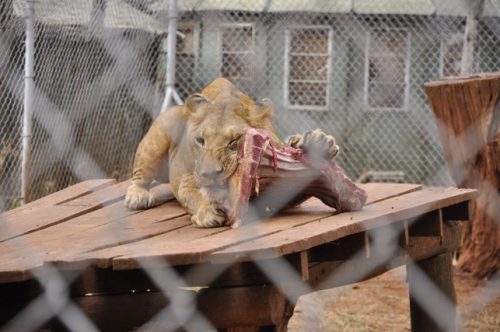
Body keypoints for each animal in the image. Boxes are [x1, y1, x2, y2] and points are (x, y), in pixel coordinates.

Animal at [124, 78, 340, 228]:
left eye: (234, 140)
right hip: (160, 133)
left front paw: (318, 142)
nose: (210, 174)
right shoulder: (185, 179)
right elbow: (192, 194)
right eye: (200, 140)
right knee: (139, 175)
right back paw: (138, 197)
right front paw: (208, 211)